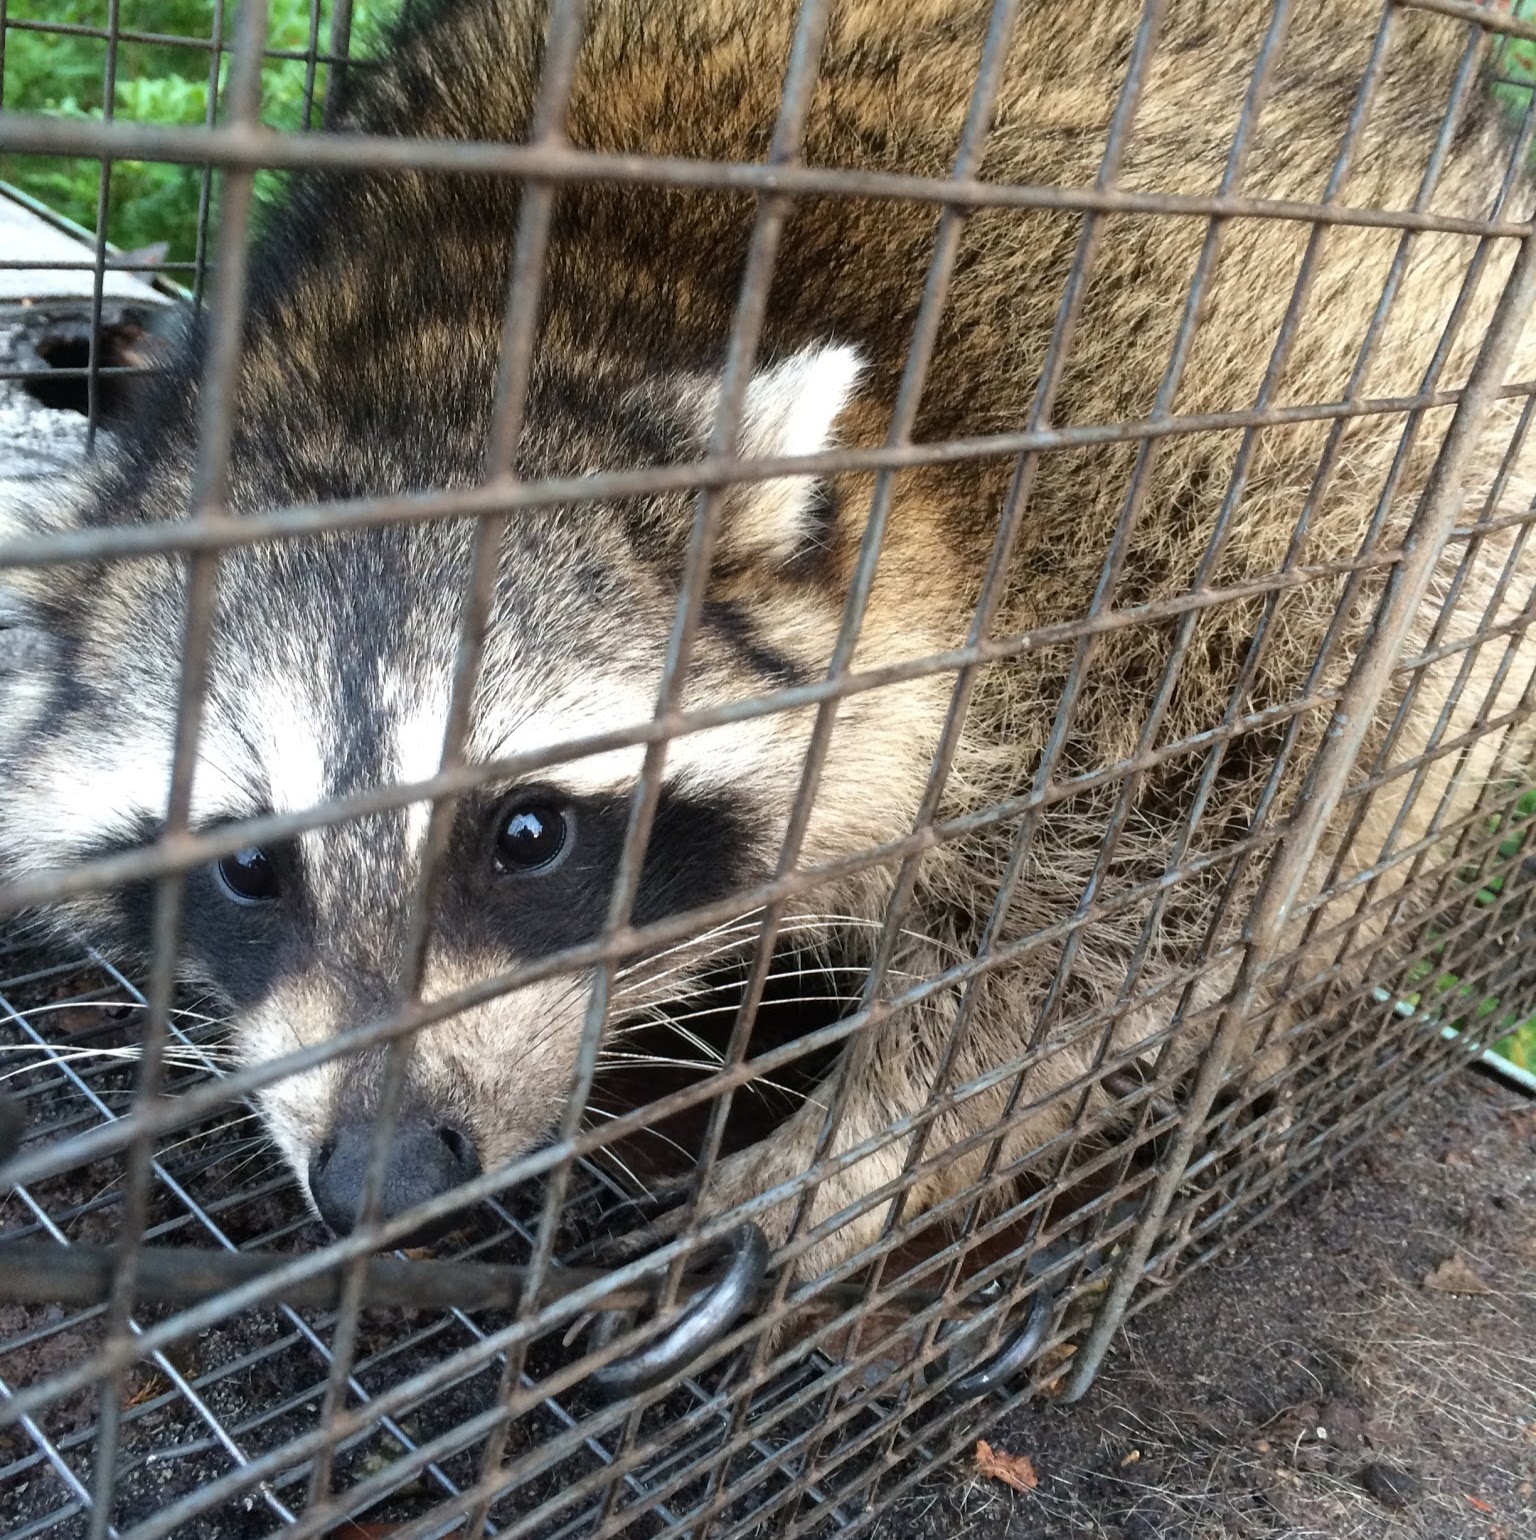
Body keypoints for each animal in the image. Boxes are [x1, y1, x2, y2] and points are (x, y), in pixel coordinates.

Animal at [2, 0, 1534, 1287]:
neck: (475, 324)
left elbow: (1170, 851)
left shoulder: (1161, 476)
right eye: (249, 867)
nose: (383, 1180)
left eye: (529, 833)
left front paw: (864, 1145)